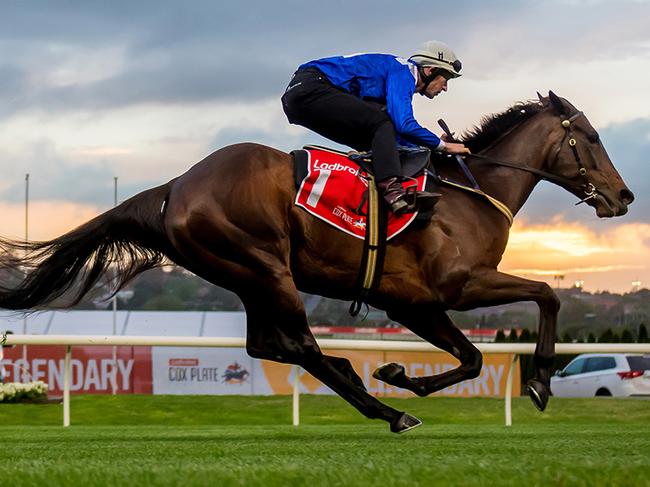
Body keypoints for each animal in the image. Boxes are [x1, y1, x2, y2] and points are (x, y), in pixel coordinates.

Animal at [0, 91, 632, 434]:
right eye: (592, 136)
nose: (623, 196)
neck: (470, 194)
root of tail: (175, 185)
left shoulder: (414, 304)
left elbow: (474, 358)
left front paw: (398, 373)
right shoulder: (454, 287)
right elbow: (545, 295)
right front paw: (541, 380)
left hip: (248, 276)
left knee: (266, 345)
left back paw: (360, 379)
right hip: (264, 266)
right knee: (299, 345)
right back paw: (386, 409)